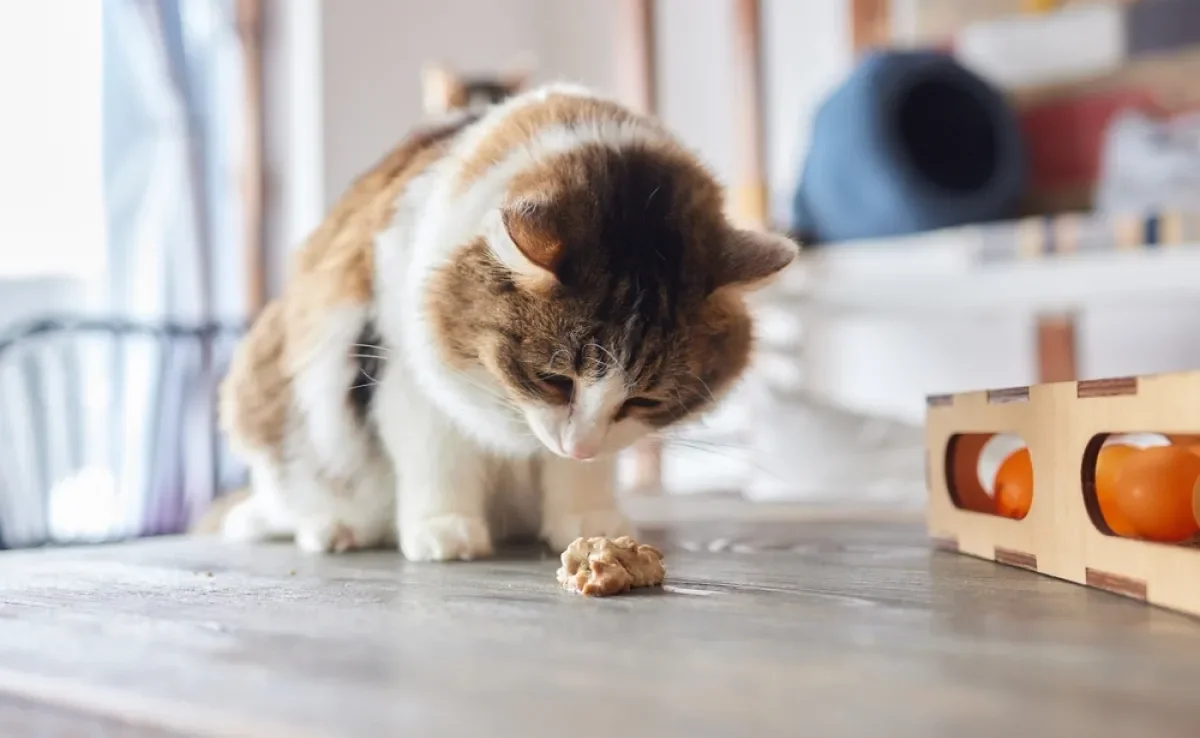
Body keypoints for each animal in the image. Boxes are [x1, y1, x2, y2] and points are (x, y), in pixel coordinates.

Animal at [218, 84, 796, 559]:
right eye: (552, 380)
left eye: (644, 401)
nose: (579, 445)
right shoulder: (405, 373)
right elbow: (438, 459)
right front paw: (444, 531)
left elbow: (580, 478)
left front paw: (589, 525)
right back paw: (334, 528)